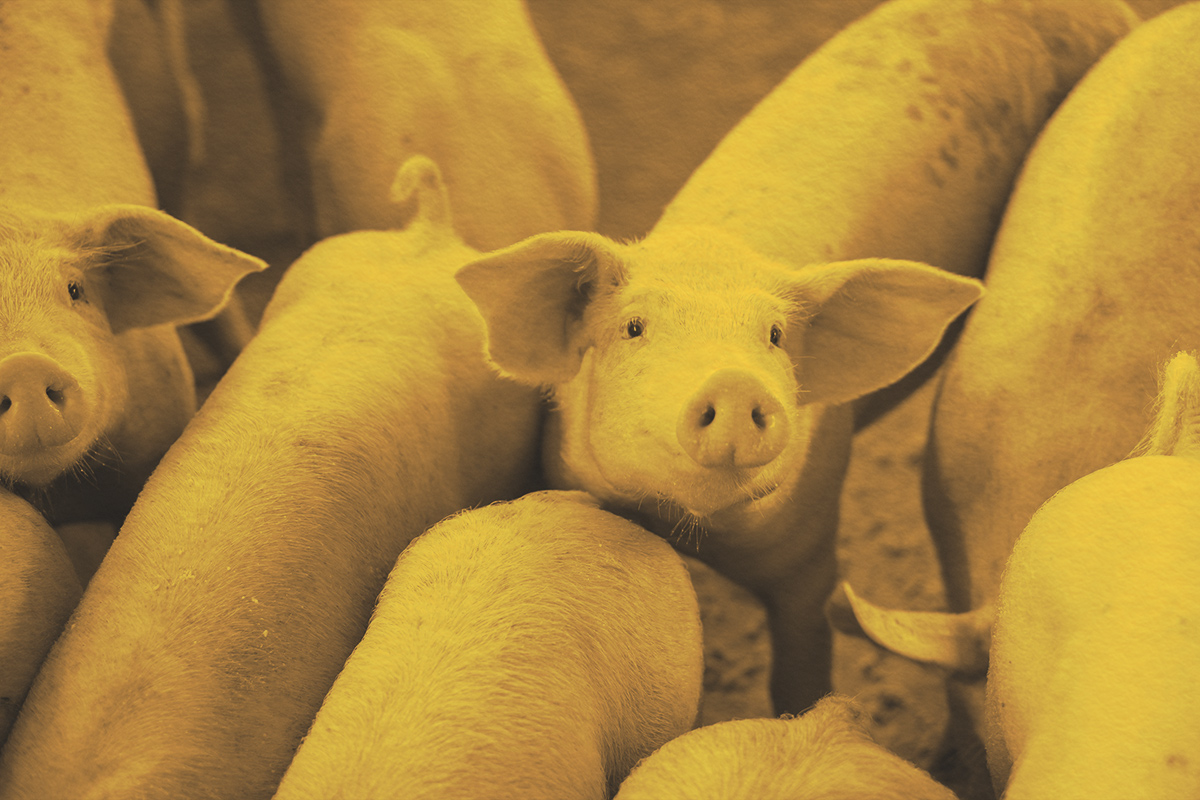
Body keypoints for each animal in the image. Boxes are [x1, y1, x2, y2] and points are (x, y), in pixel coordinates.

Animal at [455, 0, 1139, 717]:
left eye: (776, 336)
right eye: (634, 327)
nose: (733, 381)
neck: (696, 531)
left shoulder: (811, 542)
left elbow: (802, 661)